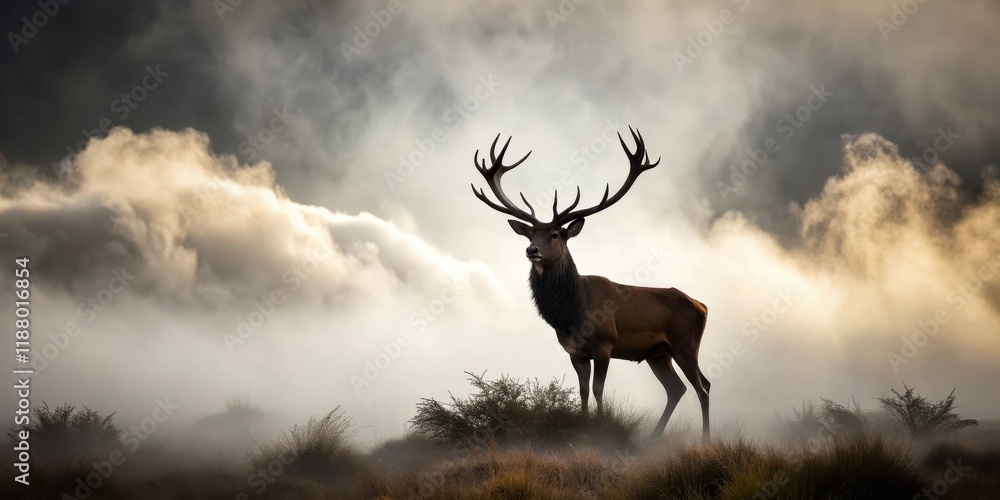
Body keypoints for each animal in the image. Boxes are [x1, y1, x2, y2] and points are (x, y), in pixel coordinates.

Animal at [470, 127, 710, 442]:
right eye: (531, 233)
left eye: (556, 235)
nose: (531, 250)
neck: (572, 314)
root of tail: (702, 306)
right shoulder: (575, 351)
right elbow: (583, 391)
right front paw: (583, 427)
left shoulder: (605, 344)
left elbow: (598, 390)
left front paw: (599, 430)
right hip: (658, 353)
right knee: (678, 388)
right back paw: (654, 439)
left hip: (685, 344)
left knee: (702, 387)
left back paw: (706, 439)